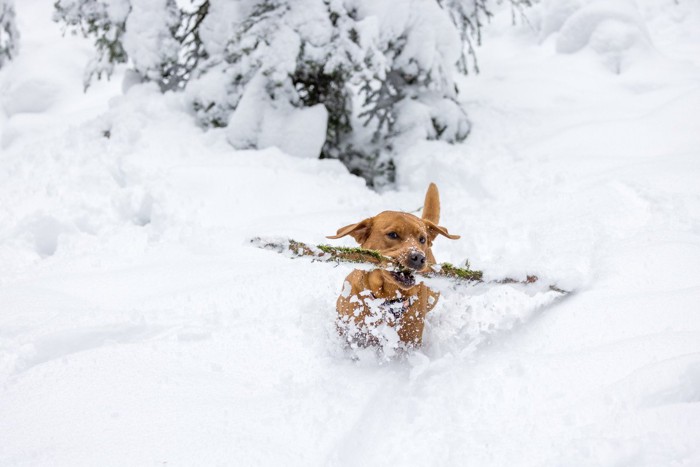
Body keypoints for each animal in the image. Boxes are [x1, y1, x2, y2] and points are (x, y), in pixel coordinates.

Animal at [326, 183, 460, 352]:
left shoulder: (409, 343)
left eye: (422, 239)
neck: (385, 300)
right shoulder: (348, 331)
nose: (419, 257)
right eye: (393, 234)